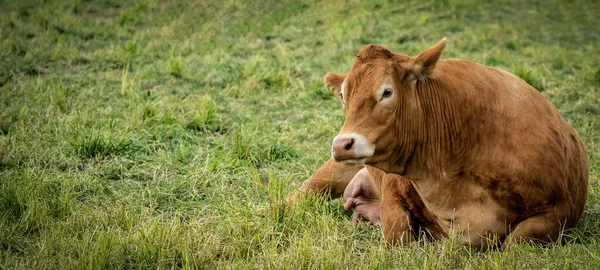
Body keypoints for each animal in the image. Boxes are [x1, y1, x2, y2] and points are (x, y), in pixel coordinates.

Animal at [288, 39, 588, 250]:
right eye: (343, 95)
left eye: (387, 92)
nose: (343, 144)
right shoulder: (395, 187)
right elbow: (398, 232)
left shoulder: (559, 211)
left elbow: (516, 242)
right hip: (332, 173)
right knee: (301, 195)